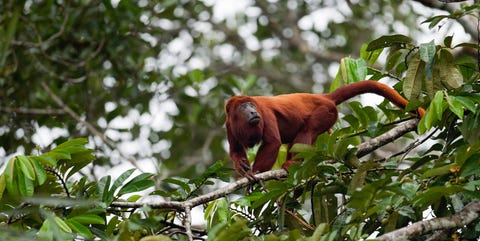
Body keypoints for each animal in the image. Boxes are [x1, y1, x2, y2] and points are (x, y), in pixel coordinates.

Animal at [224, 80, 424, 176]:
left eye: (252, 105)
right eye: (243, 107)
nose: (252, 111)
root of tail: (323, 97)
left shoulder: (264, 112)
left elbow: (273, 143)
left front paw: (255, 174)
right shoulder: (228, 124)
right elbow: (235, 150)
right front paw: (242, 167)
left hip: (326, 111)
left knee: (308, 130)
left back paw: (291, 164)